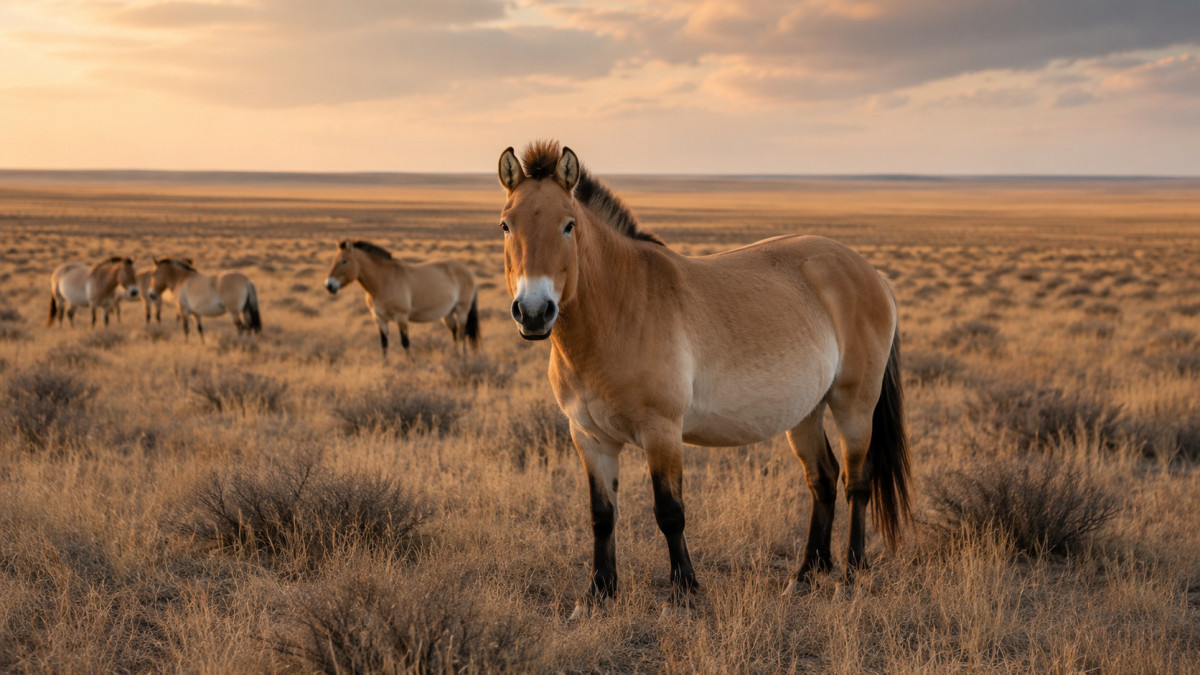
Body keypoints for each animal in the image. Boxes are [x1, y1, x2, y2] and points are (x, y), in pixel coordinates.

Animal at [324, 239, 481, 360]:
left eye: (344, 261)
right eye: (333, 261)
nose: (329, 285)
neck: (383, 282)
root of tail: (468, 271)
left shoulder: (402, 318)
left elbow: (405, 342)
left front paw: (410, 363)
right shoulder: (379, 319)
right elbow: (384, 343)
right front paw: (385, 365)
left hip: (461, 310)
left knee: (462, 333)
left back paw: (464, 357)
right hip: (447, 314)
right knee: (454, 332)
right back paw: (456, 356)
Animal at [496, 141, 910, 618]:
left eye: (569, 225)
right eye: (506, 224)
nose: (533, 312)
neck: (618, 309)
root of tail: (872, 274)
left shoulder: (662, 432)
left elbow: (669, 512)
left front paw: (684, 592)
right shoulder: (589, 438)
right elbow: (602, 515)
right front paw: (597, 594)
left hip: (854, 405)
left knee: (857, 482)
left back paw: (850, 576)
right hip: (806, 411)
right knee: (821, 479)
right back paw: (806, 575)